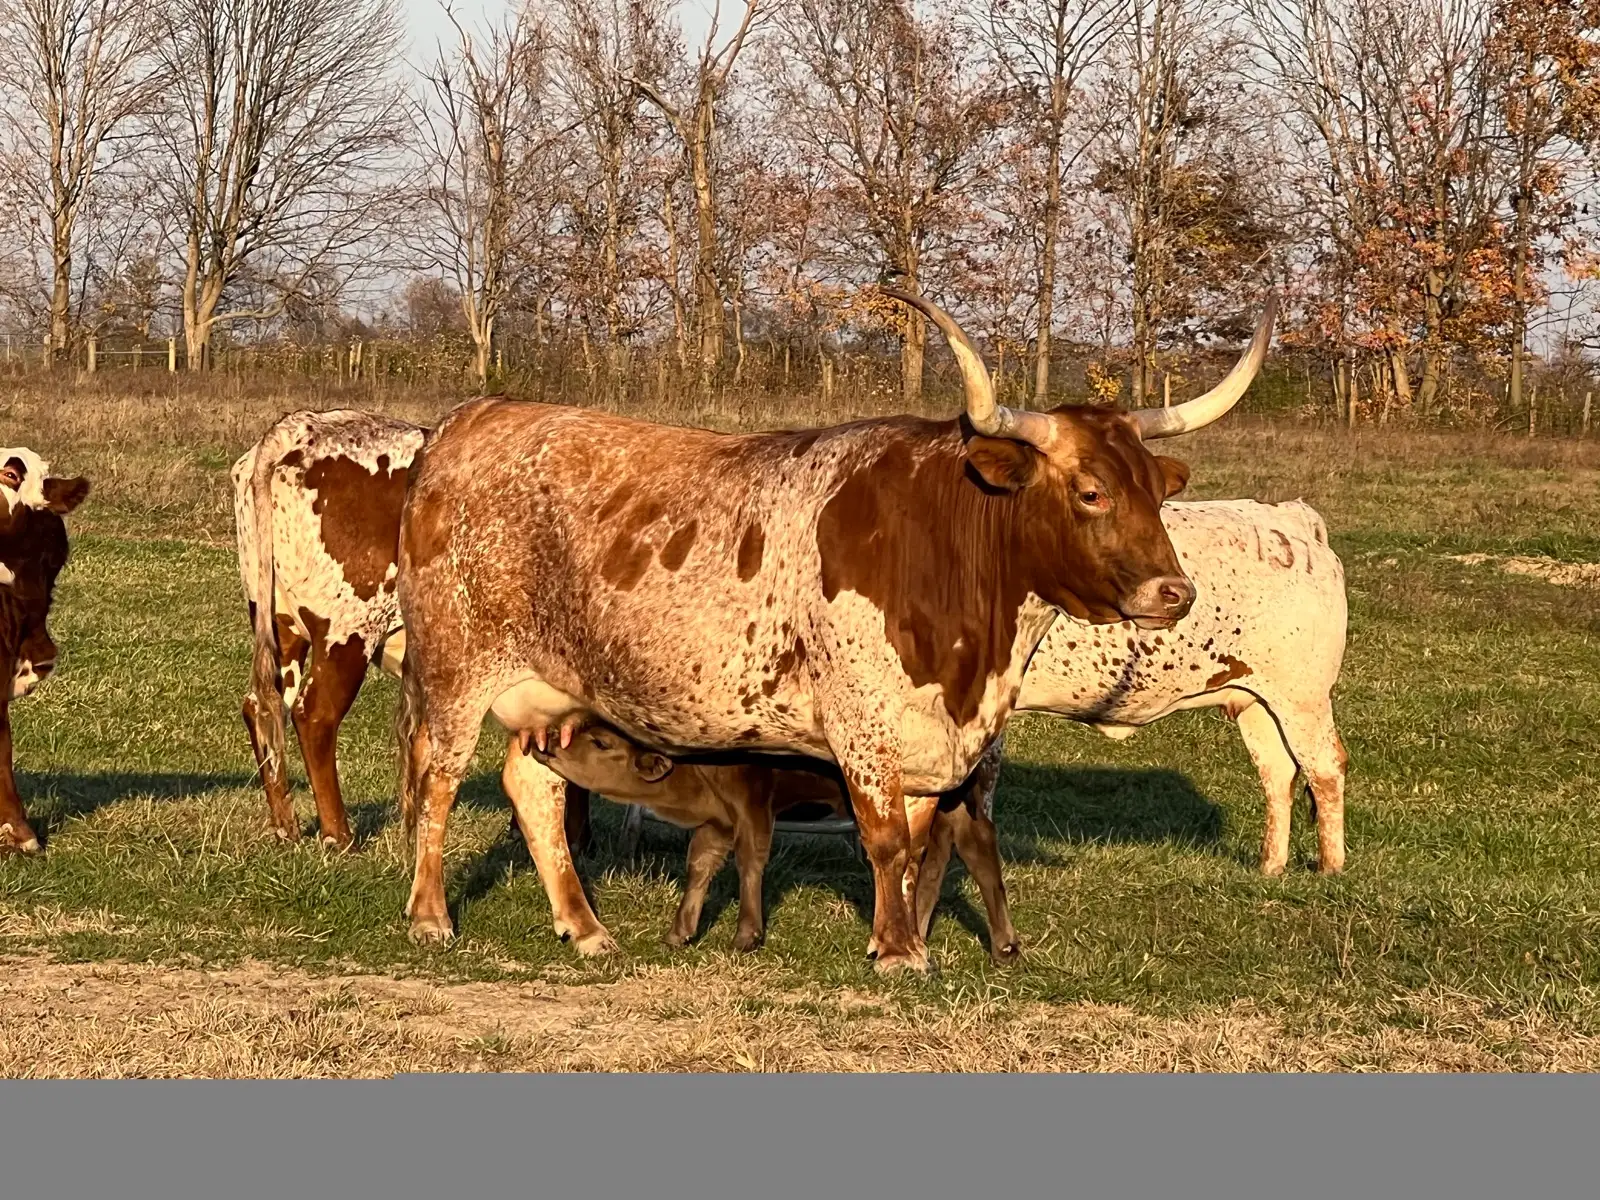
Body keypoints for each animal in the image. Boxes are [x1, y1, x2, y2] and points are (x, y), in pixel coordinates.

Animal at [395, 290, 1275, 971]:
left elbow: (915, 849)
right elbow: (883, 840)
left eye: (1153, 491)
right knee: (441, 781)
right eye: (1091, 491)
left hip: (555, 691)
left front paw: (900, 932)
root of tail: (470, 419)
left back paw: (585, 928)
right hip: (456, 669)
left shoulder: (929, 740)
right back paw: (431, 916)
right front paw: (901, 953)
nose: (1175, 591)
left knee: (533, 786)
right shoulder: (863, 725)